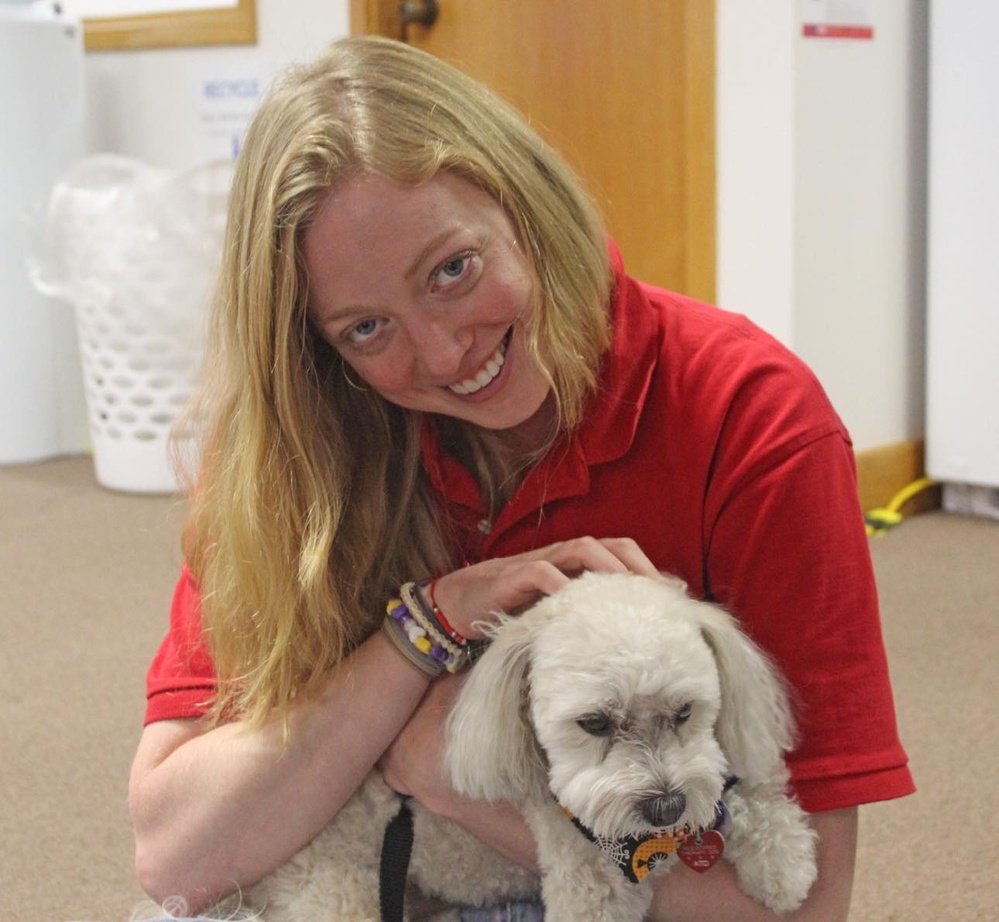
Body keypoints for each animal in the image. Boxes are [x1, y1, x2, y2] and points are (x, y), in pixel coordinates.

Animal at [207, 572, 816, 916]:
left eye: (686, 711)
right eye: (593, 723)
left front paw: (783, 864)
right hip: (334, 893)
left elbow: (749, 794)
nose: (665, 806)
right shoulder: (587, 879)